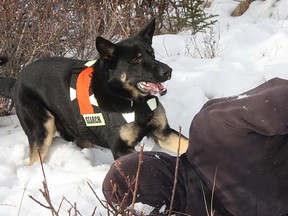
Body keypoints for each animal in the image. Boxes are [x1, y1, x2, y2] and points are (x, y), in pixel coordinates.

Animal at [0, 18, 189, 165]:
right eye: (136, 60)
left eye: (152, 54)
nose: (168, 71)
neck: (128, 98)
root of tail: (17, 82)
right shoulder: (121, 149)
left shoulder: (163, 134)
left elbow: (187, 144)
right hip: (43, 131)